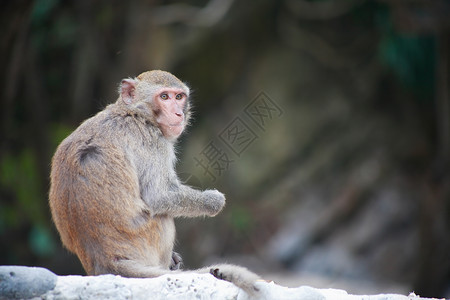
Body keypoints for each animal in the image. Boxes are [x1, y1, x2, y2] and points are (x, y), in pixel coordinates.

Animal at [49, 69, 260, 292]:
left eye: (179, 97)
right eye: (164, 97)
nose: (178, 113)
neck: (135, 112)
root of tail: (104, 259)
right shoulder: (153, 141)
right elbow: (158, 196)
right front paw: (213, 201)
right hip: (146, 236)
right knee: (163, 216)